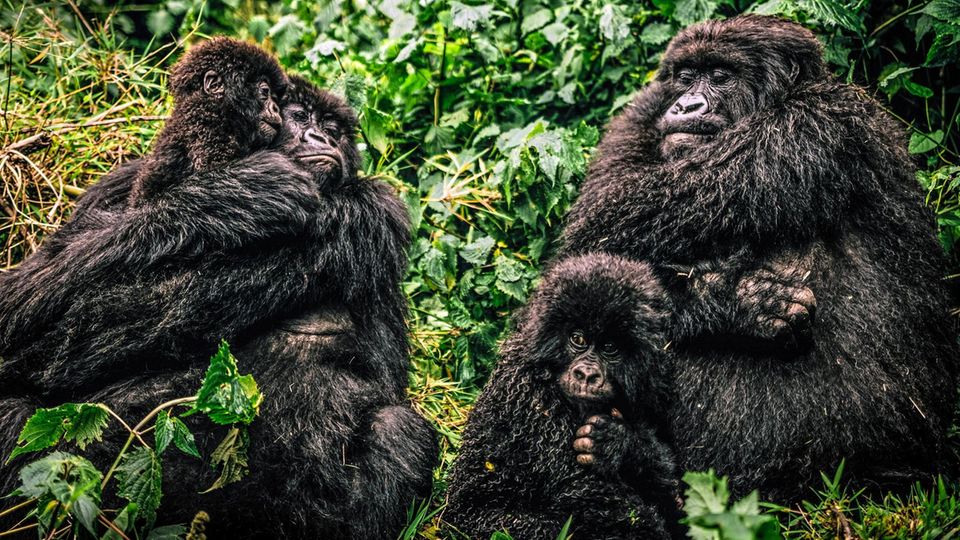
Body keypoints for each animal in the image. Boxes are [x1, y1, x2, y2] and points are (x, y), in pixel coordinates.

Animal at [0, 75, 436, 536]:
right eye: (300, 117)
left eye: (334, 130)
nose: (324, 139)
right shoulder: (115, 184)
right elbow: (27, 299)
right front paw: (238, 192)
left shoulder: (374, 205)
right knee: (15, 413)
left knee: (399, 430)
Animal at [446, 254, 680, 540]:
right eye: (578, 339)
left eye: (609, 348)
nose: (586, 375)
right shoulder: (531, 398)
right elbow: (586, 494)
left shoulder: (653, 386)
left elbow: (666, 476)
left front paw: (619, 442)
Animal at [560, 14, 956, 504]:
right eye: (687, 77)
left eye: (720, 76)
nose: (687, 106)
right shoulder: (639, 117)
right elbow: (589, 255)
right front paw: (739, 302)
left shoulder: (804, 129)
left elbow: (600, 248)